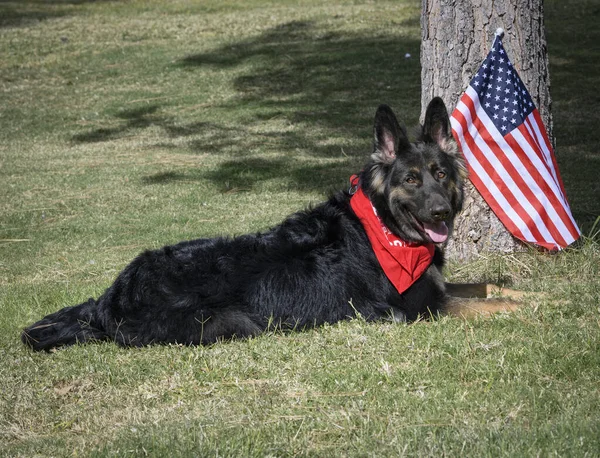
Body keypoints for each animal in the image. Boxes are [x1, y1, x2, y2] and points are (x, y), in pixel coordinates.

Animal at [21, 98, 516, 352]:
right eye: (411, 180)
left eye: (441, 174)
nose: (441, 214)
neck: (385, 226)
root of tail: (109, 298)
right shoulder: (423, 309)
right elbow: (491, 306)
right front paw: (528, 309)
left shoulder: (442, 287)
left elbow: (489, 287)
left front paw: (522, 291)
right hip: (236, 323)